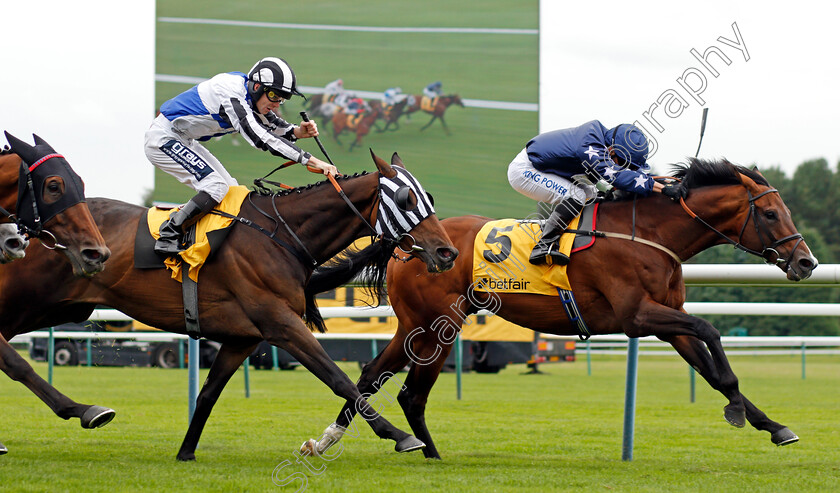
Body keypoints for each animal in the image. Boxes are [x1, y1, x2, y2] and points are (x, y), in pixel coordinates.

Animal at [0, 151, 456, 462]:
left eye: (429, 197)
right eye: (406, 199)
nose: (447, 251)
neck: (279, 236)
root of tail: (26, 229)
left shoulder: (242, 338)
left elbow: (208, 394)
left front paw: (185, 452)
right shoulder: (280, 324)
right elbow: (339, 378)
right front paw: (401, 436)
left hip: (53, 308)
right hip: (31, 300)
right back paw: (83, 410)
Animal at [304, 160, 820, 460]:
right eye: (770, 214)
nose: (806, 262)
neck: (649, 233)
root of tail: (406, 241)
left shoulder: (667, 322)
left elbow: (711, 369)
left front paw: (774, 426)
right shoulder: (638, 316)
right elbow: (711, 332)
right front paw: (738, 409)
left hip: (419, 325)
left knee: (373, 374)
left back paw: (333, 440)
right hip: (438, 325)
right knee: (409, 391)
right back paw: (424, 451)